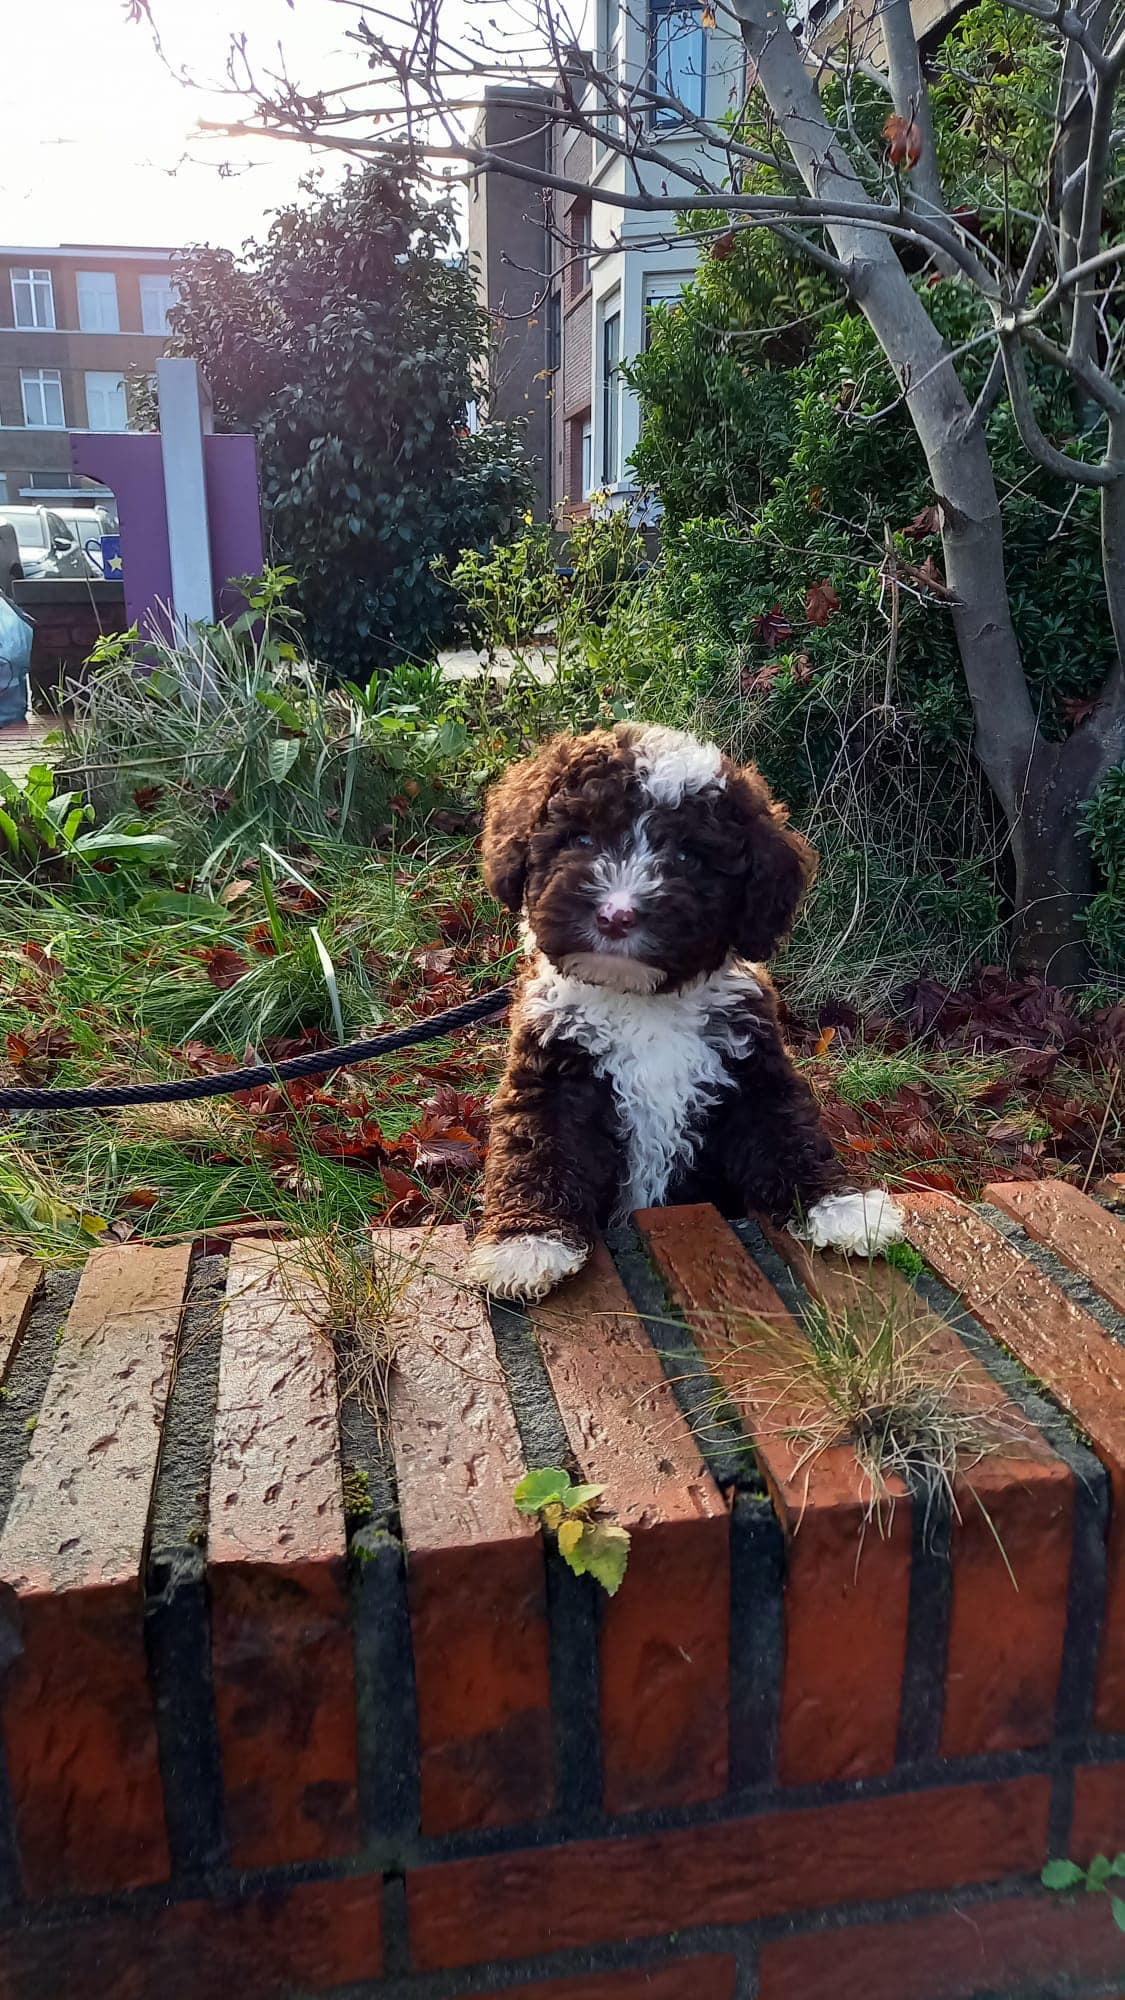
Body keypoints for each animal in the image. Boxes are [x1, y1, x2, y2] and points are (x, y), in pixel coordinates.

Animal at [464, 728, 900, 1304]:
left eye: (690, 857)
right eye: (580, 838)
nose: (616, 915)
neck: (642, 999)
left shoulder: (750, 1068)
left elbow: (788, 1132)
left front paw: (840, 1206)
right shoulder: (551, 1071)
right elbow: (539, 1147)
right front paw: (526, 1242)